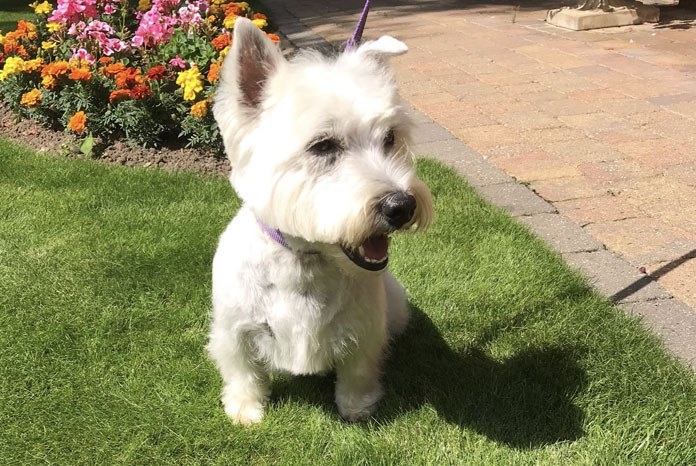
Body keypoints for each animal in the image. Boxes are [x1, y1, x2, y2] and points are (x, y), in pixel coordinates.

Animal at [208, 17, 436, 426]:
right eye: (323, 145)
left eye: (390, 138)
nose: (402, 205)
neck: (306, 260)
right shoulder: (234, 328)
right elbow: (241, 369)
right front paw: (245, 409)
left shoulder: (364, 329)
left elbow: (358, 370)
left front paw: (357, 407)